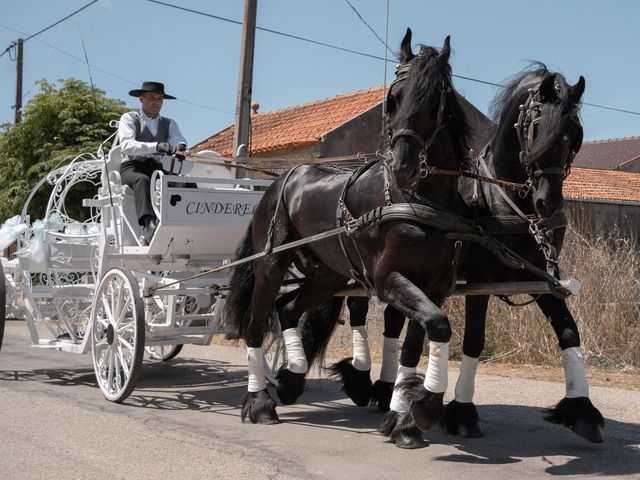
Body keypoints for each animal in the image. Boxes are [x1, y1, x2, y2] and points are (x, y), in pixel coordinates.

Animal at [222, 31, 472, 430]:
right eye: (393, 98)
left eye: (436, 98)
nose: (403, 166)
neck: (416, 198)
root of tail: (280, 181)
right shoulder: (388, 278)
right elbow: (437, 325)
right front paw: (423, 407)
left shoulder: (436, 284)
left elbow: (421, 339)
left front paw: (407, 417)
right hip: (272, 263)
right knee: (256, 323)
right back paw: (259, 402)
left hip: (328, 275)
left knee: (287, 308)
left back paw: (291, 379)